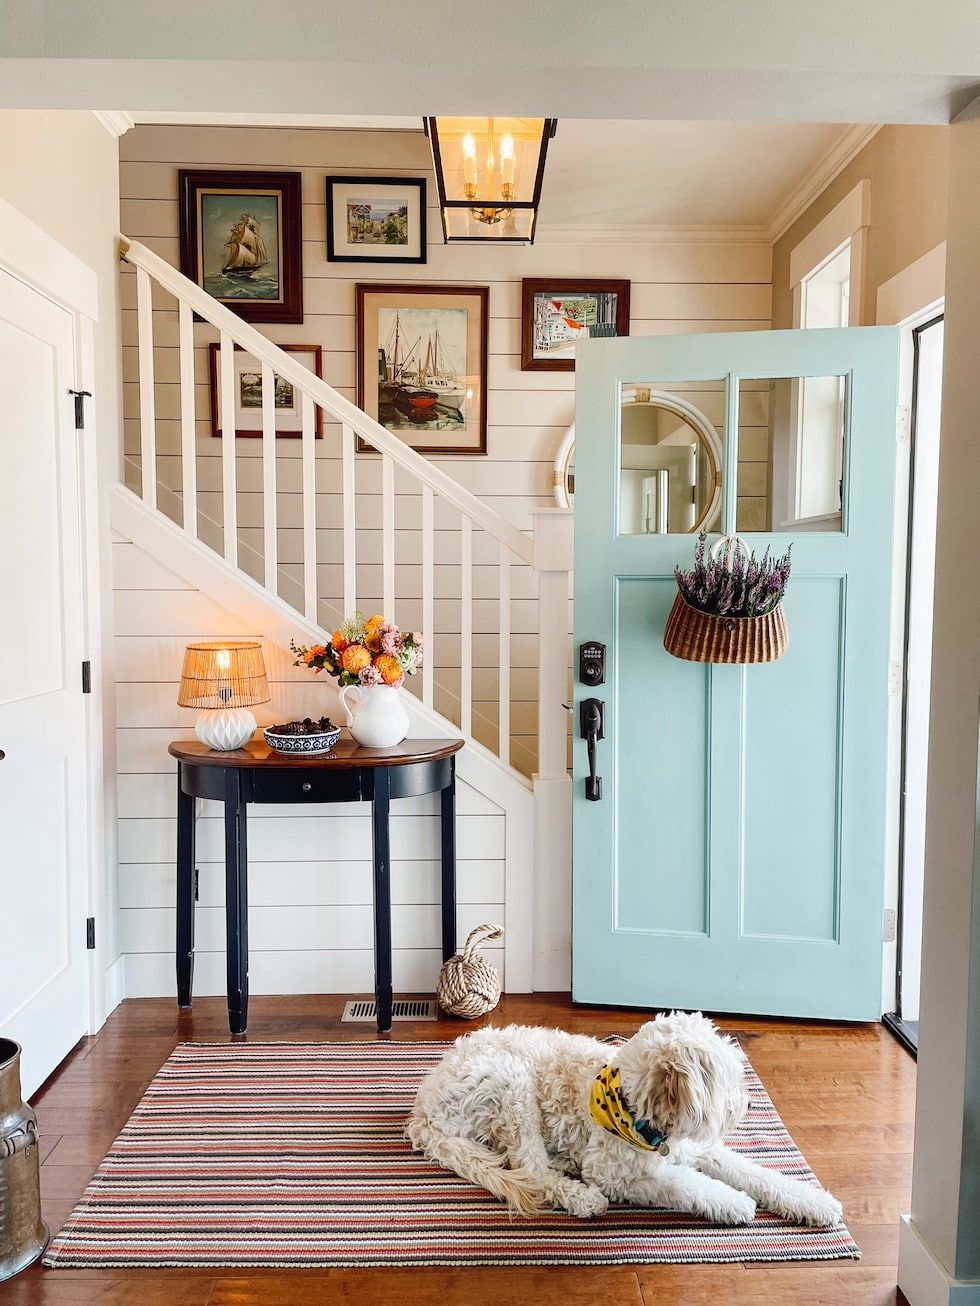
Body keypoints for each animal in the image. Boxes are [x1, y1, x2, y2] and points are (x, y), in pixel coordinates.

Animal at [407, 1008, 846, 1222]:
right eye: (730, 1079)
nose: (752, 1104)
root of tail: (423, 1103)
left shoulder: (698, 1150)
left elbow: (757, 1173)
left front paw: (814, 1202)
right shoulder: (613, 1173)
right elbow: (683, 1185)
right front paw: (734, 1203)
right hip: (510, 1082)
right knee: (531, 1168)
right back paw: (580, 1197)